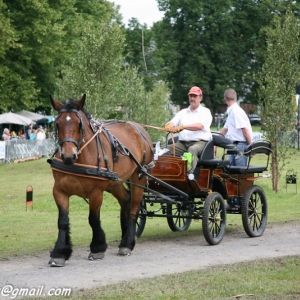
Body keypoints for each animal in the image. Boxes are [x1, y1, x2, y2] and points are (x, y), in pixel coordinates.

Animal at [48, 94, 155, 268]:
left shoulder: (96, 193)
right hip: (115, 181)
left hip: (138, 177)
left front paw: (97, 248)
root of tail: (139, 128)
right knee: (126, 199)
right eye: (58, 123)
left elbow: (93, 219)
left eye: (79, 124)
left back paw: (127, 243)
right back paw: (125, 236)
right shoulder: (59, 191)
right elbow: (62, 221)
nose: (68, 155)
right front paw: (59, 253)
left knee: (134, 208)